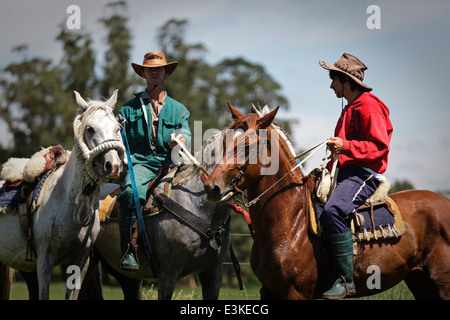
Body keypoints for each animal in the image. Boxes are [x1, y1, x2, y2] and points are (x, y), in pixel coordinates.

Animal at [0, 90, 126, 300]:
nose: (114, 165)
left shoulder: (80, 262)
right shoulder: (44, 261)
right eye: (90, 129)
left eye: (118, 128)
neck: (67, 199)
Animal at [206, 104, 450, 300]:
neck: (291, 221)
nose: (212, 187)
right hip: (419, 281)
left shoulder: (297, 293)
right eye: (224, 142)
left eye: (247, 146)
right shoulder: (268, 290)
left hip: (441, 282)